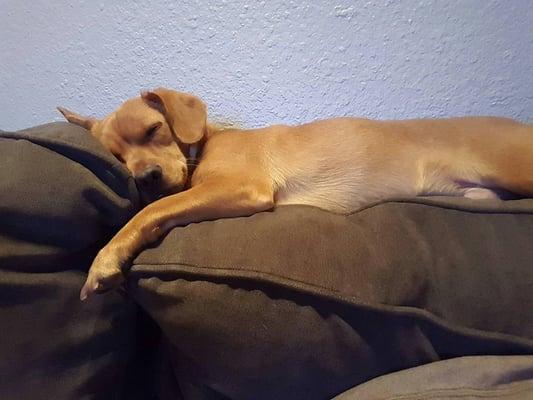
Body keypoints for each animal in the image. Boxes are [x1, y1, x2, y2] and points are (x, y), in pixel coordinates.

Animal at [58, 87, 532, 300]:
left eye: (155, 129)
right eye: (117, 156)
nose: (147, 177)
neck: (205, 143)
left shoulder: (240, 187)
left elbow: (150, 212)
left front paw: (105, 260)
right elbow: (157, 209)